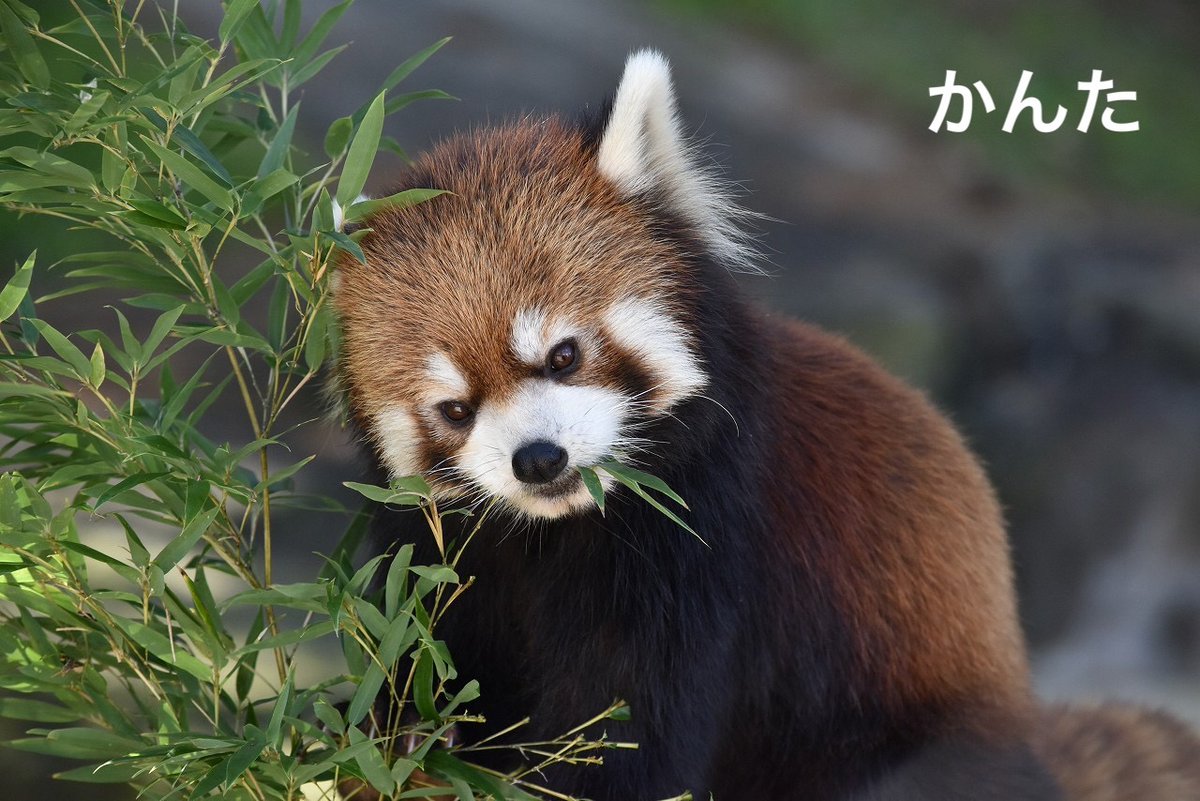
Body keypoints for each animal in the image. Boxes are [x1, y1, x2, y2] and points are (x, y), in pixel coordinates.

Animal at [336, 51, 1200, 801]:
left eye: (564, 354)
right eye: (455, 408)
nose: (538, 458)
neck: (561, 533)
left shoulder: (705, 538)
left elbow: (633, 725)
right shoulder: (441, 562)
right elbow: (417, 667)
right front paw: (408, 747)